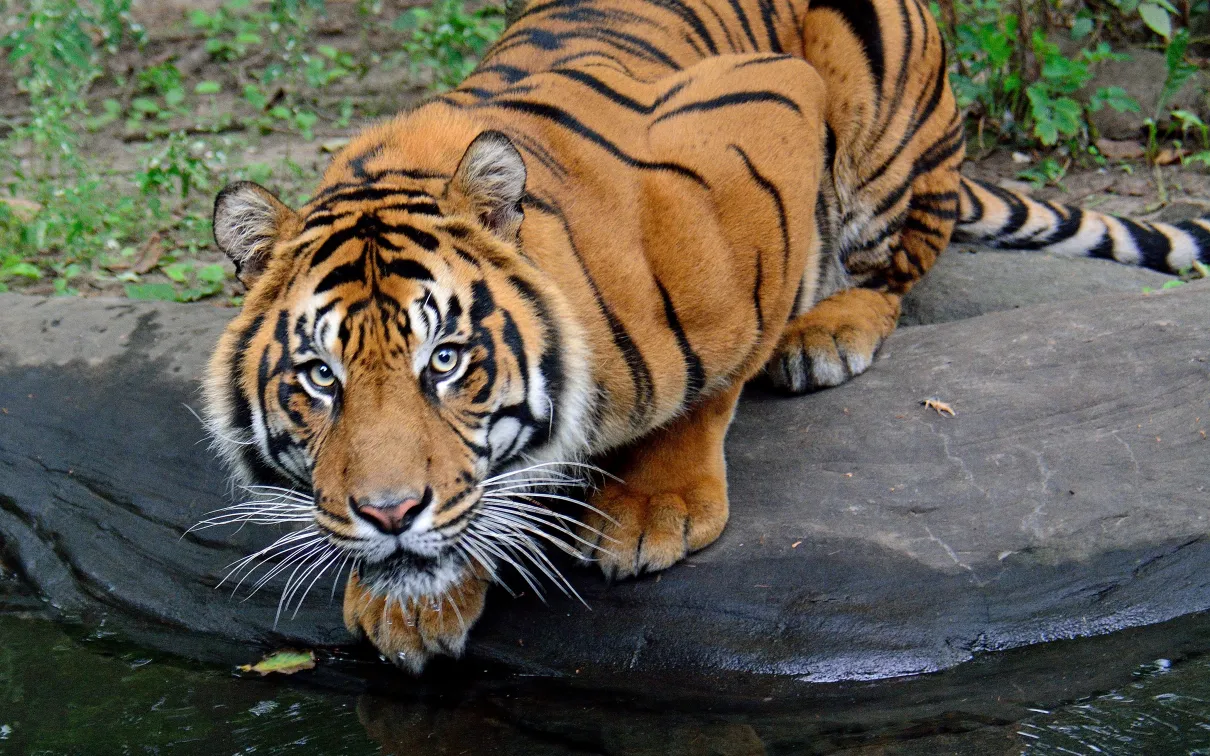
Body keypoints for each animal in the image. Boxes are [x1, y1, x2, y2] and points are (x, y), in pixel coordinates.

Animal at [203, 0, 1210, 672]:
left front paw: (655, 506)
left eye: (445, 361)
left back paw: (826, 330)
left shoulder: (766, 119)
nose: (387, 515)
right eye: (319, 377)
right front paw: (410, 602)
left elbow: (712, 378)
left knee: (895, 271)